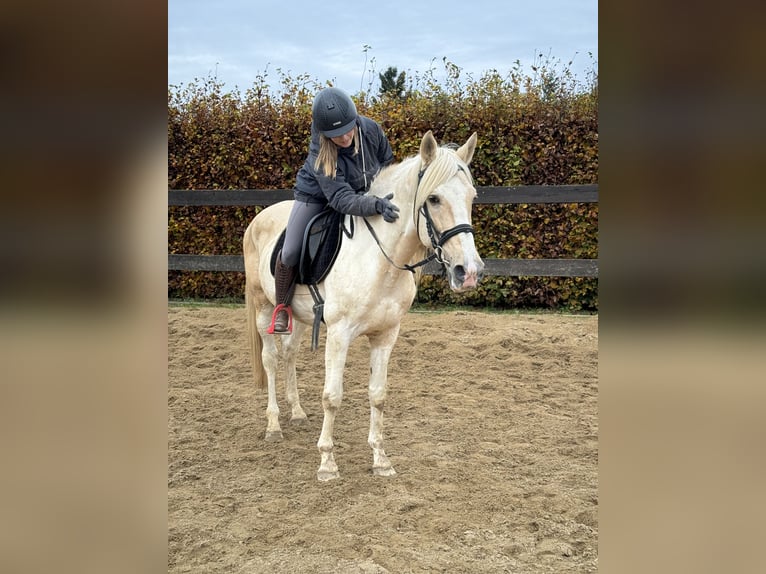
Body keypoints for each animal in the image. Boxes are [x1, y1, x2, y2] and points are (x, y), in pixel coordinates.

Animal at [244, 130, 486, 482]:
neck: (379, 258)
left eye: (471, 197)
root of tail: (260, 217)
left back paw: (298, 412)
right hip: (263, 308)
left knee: (289, 354)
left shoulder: (385, 335)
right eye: (434, 199)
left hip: (298, 317)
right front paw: (327, 463)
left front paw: (381, 460)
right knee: (271, 360)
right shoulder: (339, 335)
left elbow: (378, 395)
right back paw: (274, 425)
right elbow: (332, 397)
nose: (468, 272)